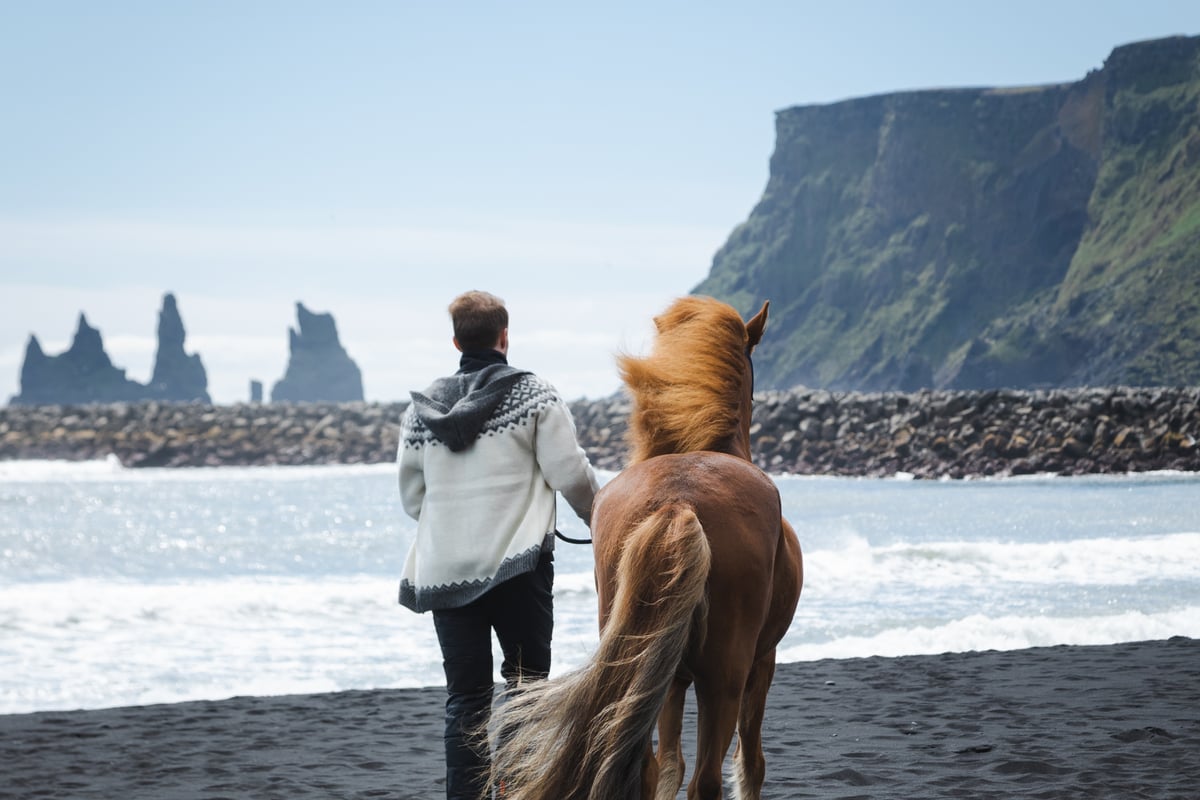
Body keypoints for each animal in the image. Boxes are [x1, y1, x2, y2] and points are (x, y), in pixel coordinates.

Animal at [488, 295, 803, 800]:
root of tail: (678, 501)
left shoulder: (669, 680)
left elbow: (669, 763)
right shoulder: (763, 662)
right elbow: (750, 763)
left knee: (648, 766)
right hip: (725, 679)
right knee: (706, 779)